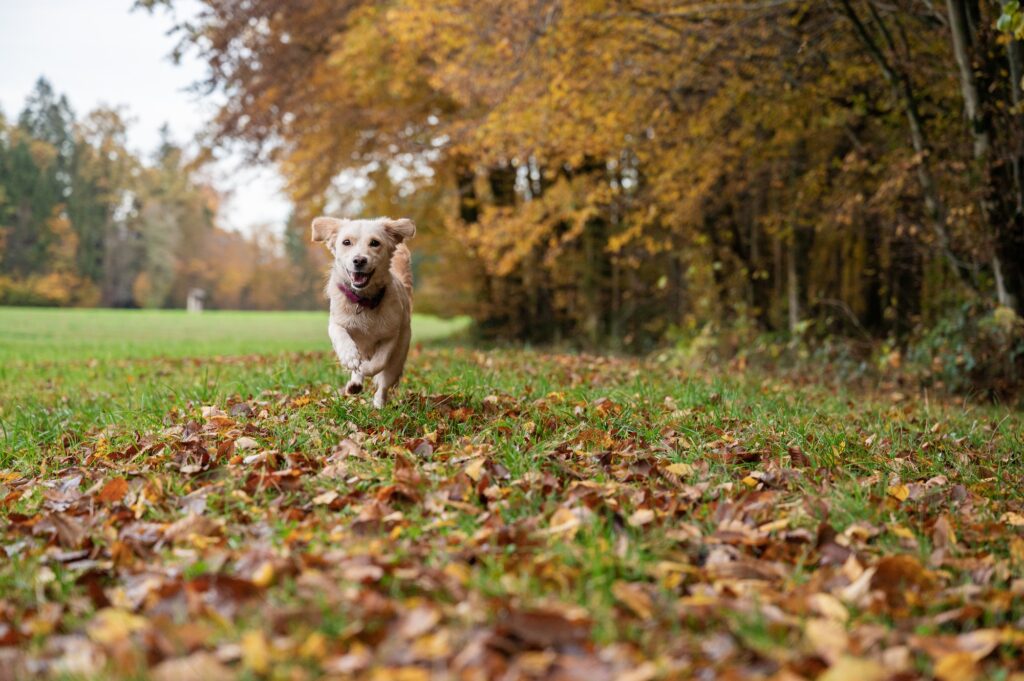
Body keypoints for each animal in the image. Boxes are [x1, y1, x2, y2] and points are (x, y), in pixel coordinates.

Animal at [309, 216, 413, 409]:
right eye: (346, 242)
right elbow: (342, 336)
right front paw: (349, 357)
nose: (359, 260)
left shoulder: (390, 336)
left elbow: (378, 362)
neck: (363, 300)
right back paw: (355, 383)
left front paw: (365, 368)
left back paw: (378, 404)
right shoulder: (335, 323)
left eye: (374, 243)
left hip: (399, 357)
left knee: (384, 383)